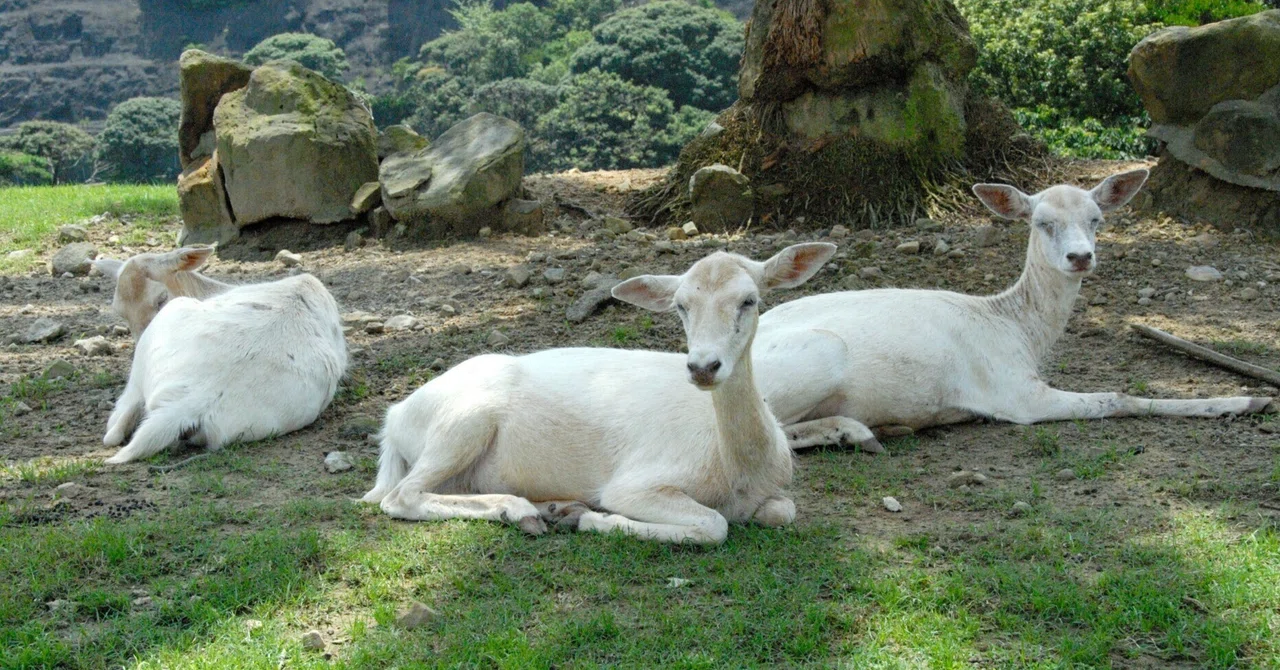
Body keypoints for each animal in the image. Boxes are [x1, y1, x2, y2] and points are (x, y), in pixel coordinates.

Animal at [361, 244, 837, 544]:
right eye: (680, 305)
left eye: (749, 300)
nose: (703, 366)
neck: (738, 471)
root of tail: (394, 417)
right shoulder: (634, 483)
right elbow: (713, 526)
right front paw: (591, 519)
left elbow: (784, 511)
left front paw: (574, 514)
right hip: (460, 423)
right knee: (399, 496)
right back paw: (523, 511)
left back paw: (550, 508)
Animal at [753, 169, 1274, 452]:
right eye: (1042, 222)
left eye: (1096, 219)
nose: (1080, 257)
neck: (1018, 331)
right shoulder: (1015, 394)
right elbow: (1116, 398)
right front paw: (1251, 400)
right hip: (816, 354)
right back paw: (860, 431)